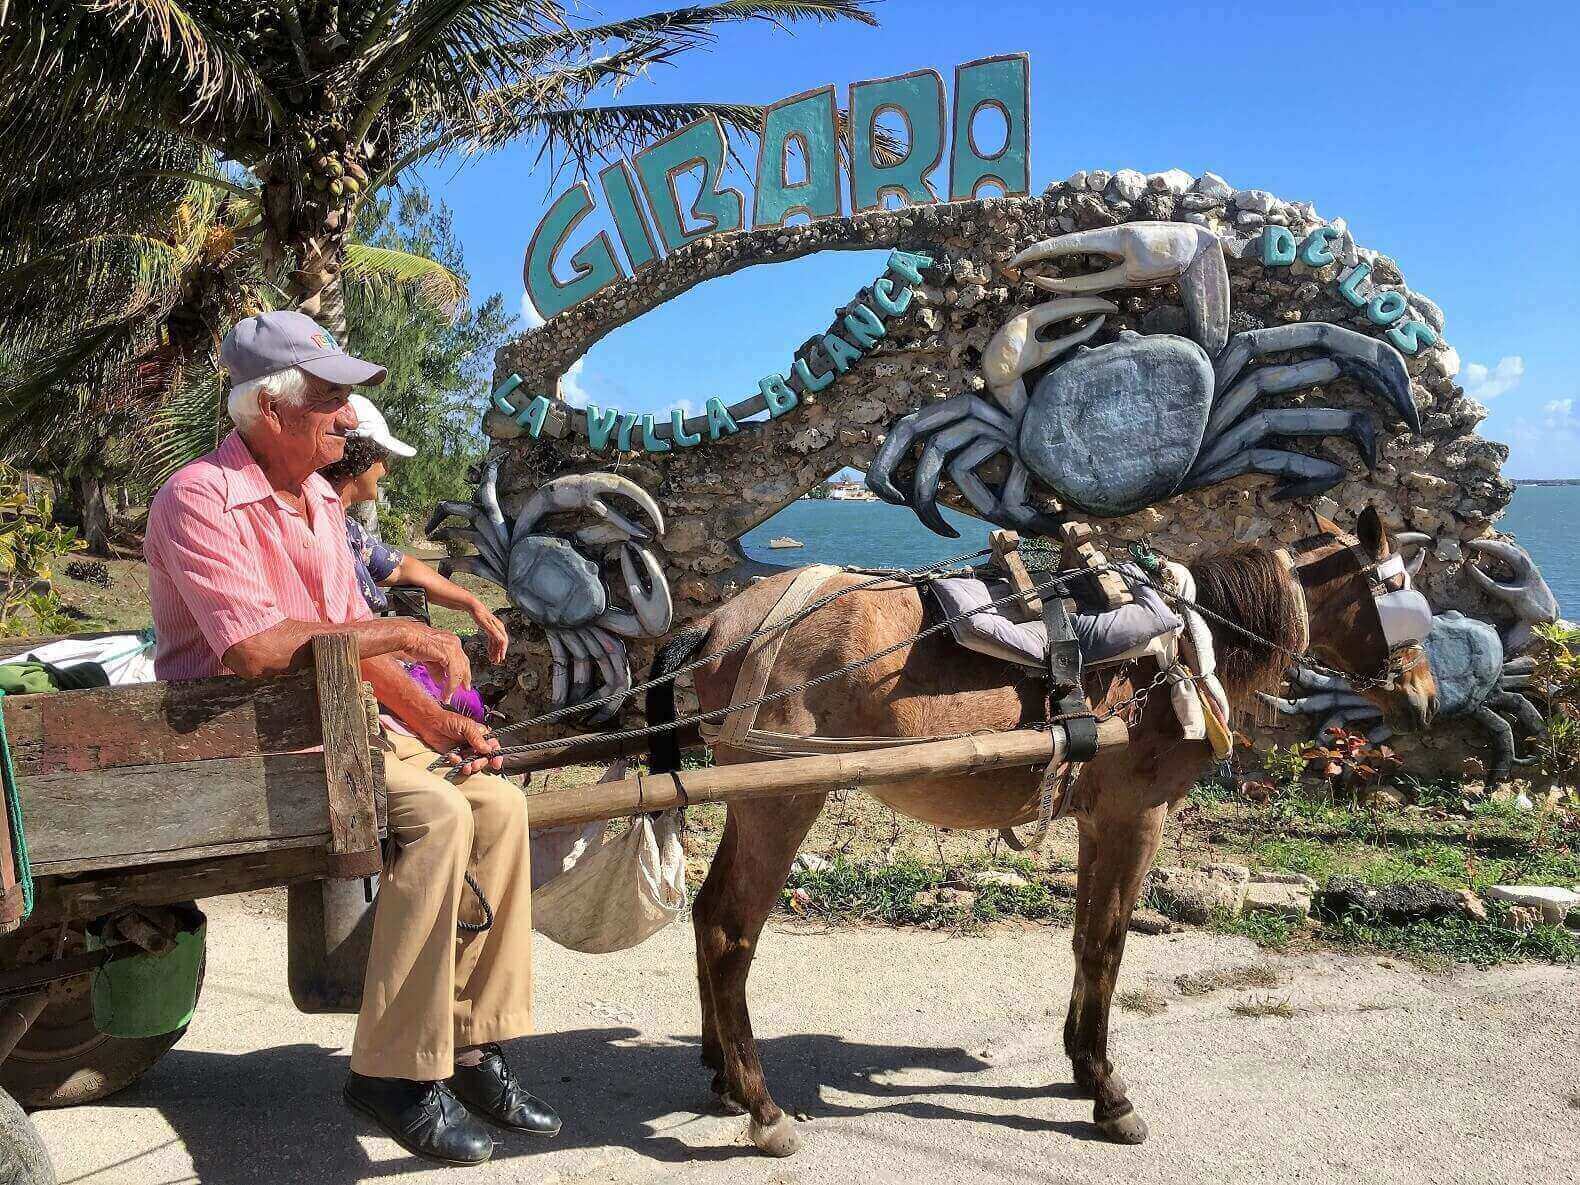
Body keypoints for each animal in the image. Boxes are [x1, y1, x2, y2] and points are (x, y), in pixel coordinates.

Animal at [641, 505, 1434, 1156]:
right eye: (1395, 589)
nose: (1426, 697)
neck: (1181, 640)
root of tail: (716, 624)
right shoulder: (1135, 816)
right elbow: (1109, 943)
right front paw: (1109, 1092)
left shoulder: (1098, 818)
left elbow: (1086, 937)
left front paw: (1082, 1064)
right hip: (782, 799)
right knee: (729, 931)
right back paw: (764, 1107)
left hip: (756, 802)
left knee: (707, 912)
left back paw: (724, 1077)